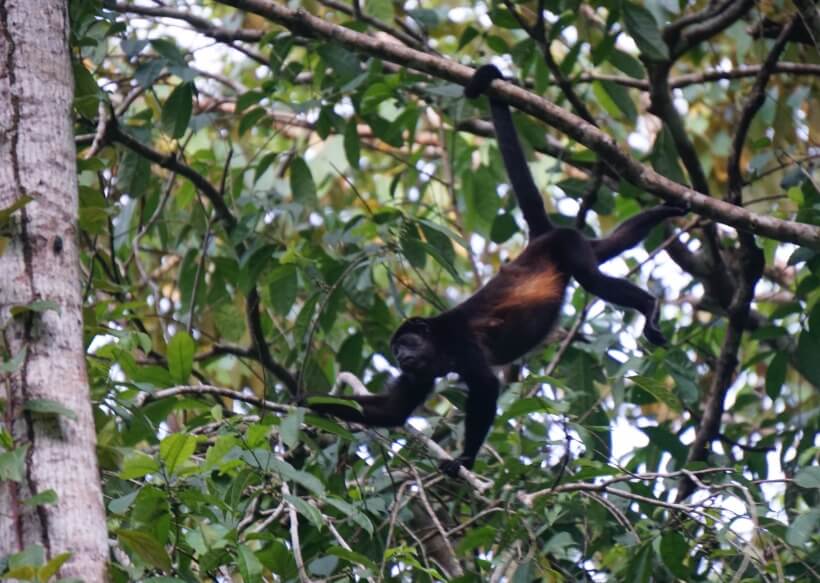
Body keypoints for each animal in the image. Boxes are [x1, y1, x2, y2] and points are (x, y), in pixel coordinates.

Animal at [308, 64, 687, 477]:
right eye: (395, 351)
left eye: (406, 343)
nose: (400, 356)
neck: (436, 344)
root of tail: (541, 239)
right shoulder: (419, 371)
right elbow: (393, 411)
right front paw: (304, 401)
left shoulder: (460, 342)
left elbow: (487, 386)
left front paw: (464, 460)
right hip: (578, 244)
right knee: (614, 245)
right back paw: (660, 215)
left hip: (567, 245)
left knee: (594, 279)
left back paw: (648, 305)